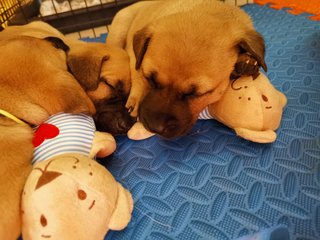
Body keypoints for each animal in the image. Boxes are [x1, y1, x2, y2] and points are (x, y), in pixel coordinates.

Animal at [107, 0, 268, 138]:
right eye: (150, 78)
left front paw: (247, 61)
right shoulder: (134, 56)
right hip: (120, 28)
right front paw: (135, 98)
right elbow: (136, 72)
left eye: (196, 93)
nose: (155, 127)